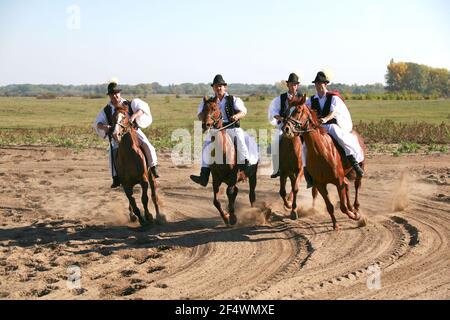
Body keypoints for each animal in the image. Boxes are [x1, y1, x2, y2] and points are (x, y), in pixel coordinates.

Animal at [200, 96, 258, 226]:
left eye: (214, 108)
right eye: (203, 109)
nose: (206, 125)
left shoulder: (232, 177)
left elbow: (230, 193)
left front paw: (232, 218)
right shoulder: (216, 179)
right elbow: (216, 201)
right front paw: (226, 217)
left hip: (253, 175)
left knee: (251, 195)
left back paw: (253, 212)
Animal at [284, 94, 368, 230]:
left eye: (298, 110)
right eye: (286, 111)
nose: (286, 129)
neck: (320, 152)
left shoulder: (338, 181)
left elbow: (343, 207)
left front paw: (356, 216)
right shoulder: (320, 184)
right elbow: (330, 206)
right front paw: (335, 225)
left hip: (360, 168)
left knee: (356, 185)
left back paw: (356, 207)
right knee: (347, 186)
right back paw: (352, 208)